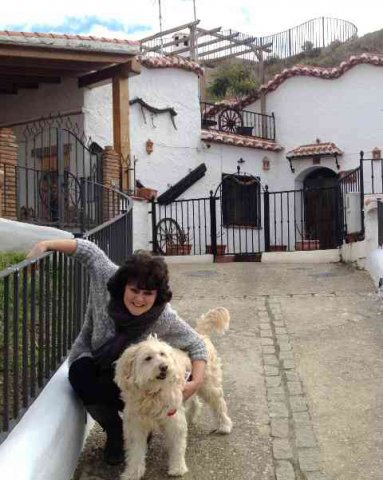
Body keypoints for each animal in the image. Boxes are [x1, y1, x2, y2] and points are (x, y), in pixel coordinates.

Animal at [115, 308, 234, 480]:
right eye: (148, 358)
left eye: (163, 354)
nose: (164, 367)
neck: (152, 394)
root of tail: (200, 335)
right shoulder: (136, 424)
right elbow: (135, 451)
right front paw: (132, 472)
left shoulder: (173, 420)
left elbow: (177, 446)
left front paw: (177, 468)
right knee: (194, 402)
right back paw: (192, 417)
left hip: (209, 386)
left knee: (219, 404)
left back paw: (224, 425)